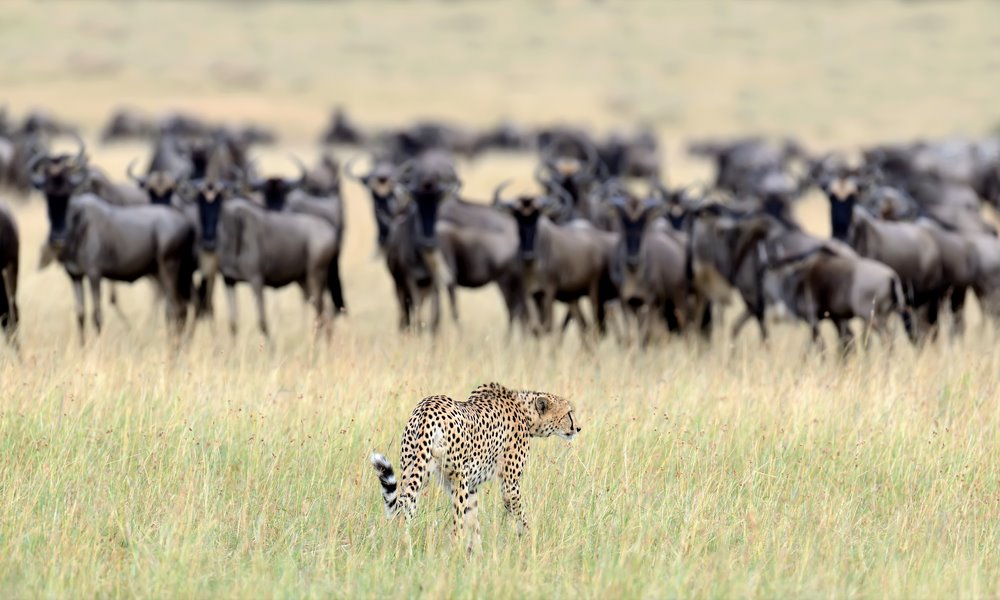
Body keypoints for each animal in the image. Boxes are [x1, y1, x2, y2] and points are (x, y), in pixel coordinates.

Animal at [369, 382, 581, 554]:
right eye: (569, 413)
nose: (578, 428)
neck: (525, 413)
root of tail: (428, 408)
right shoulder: (509, 485)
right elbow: (519, 515)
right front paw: (529, 540)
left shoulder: (471, 486)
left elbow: (473, 520)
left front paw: (476, 553)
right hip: (457, 479)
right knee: (455, 525)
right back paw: (453, 553)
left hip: (414, 471)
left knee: (403, 512)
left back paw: (404, 548)